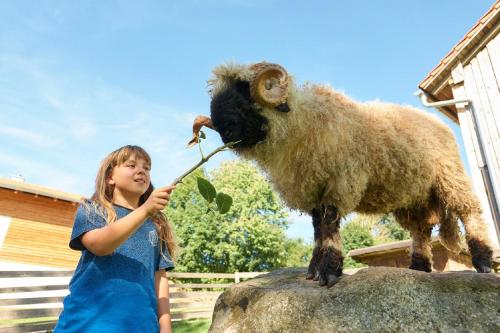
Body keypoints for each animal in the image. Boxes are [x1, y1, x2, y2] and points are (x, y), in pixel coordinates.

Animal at [190, 61, 492, 286]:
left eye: (243, 91)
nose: (222, 130)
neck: (302, 124)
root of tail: (435, 121)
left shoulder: (340, 182)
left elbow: (330, 225)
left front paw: (330, 271)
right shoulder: (312, 188)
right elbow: (317, 229)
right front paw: (313, 270)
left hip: (450, 177)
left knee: (469, 212)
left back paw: (483, 263)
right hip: (412, 195)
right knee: (421, 229)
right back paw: (418, 267)